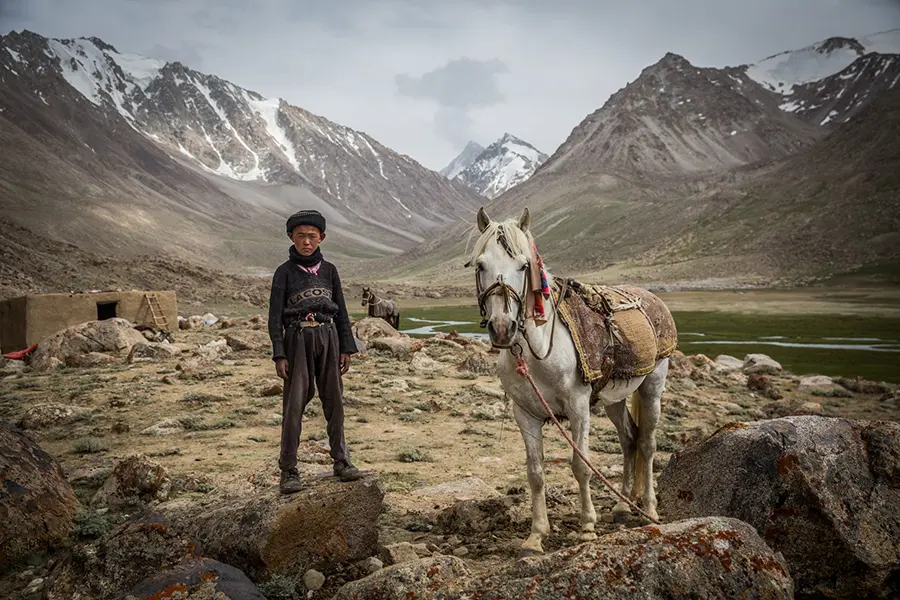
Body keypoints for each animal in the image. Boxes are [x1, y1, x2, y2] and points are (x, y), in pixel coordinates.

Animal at [468, 207, 672, 556]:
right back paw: (622, 506)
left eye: (523, 265)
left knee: (647, 444)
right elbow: (535, 472)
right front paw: (536, 535)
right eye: (481, 264)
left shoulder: (578, 407)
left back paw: (649, 508)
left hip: (652, 386)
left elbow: (581, 465)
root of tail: (651, 297)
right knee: (629, 439)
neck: (538, 352)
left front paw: (587, 527)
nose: (503, 328)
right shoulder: (526, 413)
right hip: (614, 399)